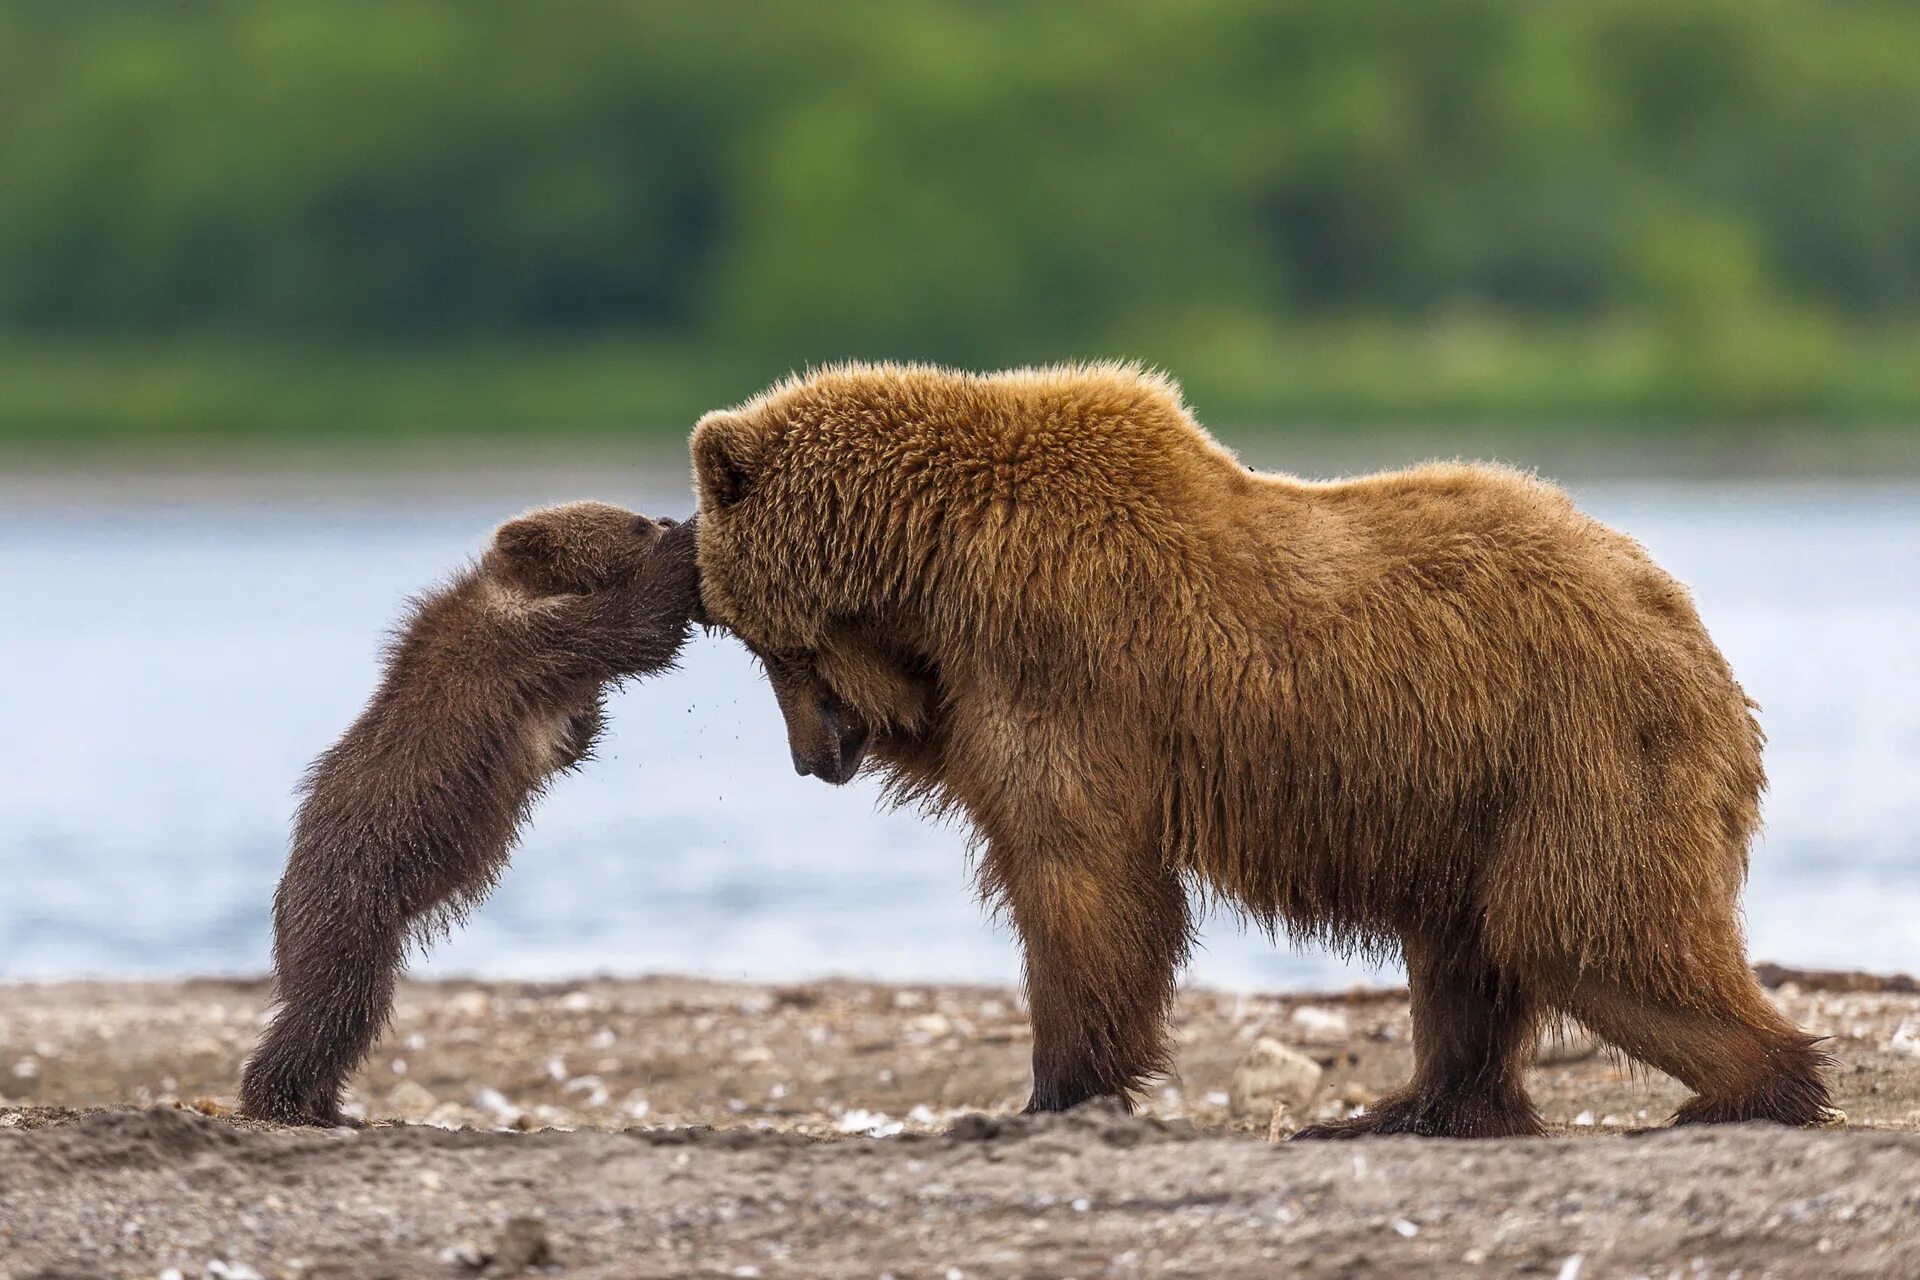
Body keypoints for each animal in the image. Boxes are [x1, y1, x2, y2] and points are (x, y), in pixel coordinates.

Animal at [691, 362, 1827, 1143]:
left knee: (1587, 931)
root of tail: (1700, 643)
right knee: (1470, 955)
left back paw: (1747, 1087)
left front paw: (1055, 1088)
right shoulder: (980, 681)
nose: (813, 757)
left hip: (1579, 750)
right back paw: (1409, 1105)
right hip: (1477, 794)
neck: (933, 560)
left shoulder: (1057, 657)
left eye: (760, 642)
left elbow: (1080, 878)